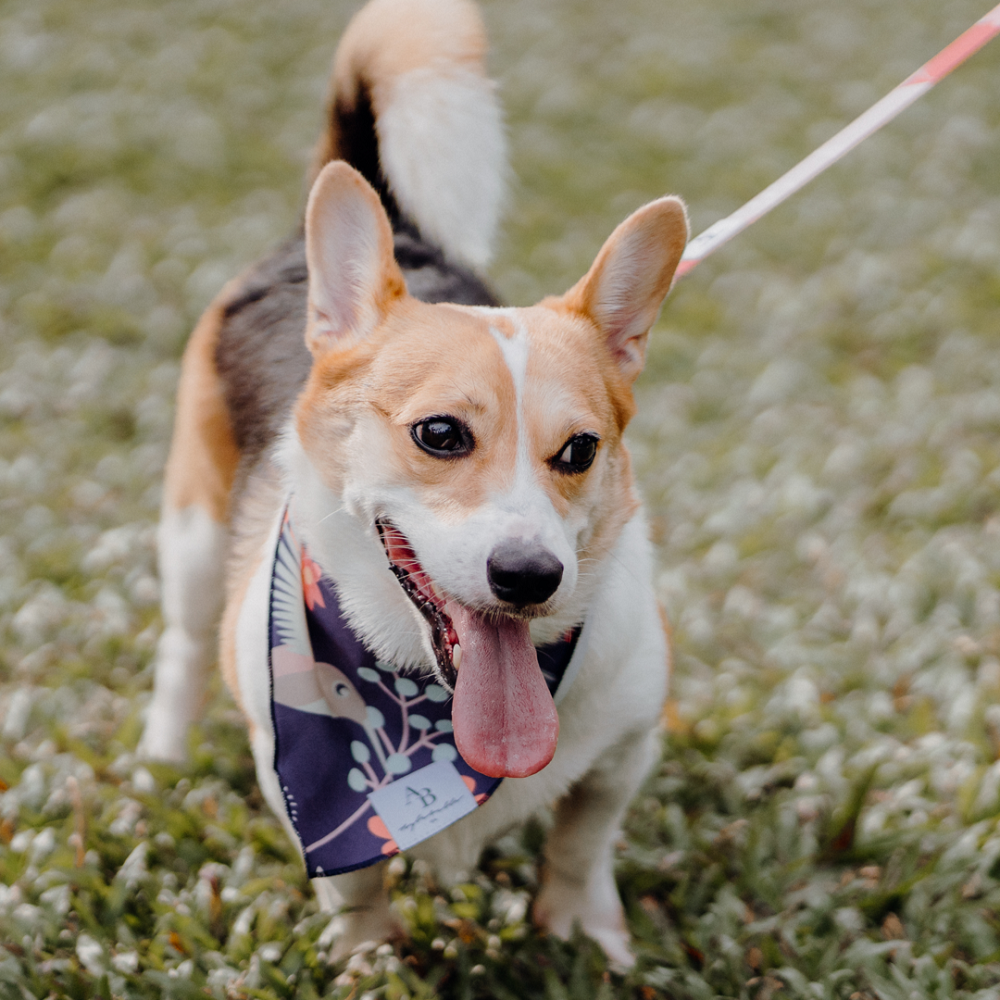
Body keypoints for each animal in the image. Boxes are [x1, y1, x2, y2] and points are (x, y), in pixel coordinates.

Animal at [139, 0, 688, 967]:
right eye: (440, 434)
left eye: (580, 450)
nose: (530, 577)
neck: (433, 706)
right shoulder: (303, 777)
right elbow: (356, 882)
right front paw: (369, 958)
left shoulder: (626, 748)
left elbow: (583, 842)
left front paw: (585, 934)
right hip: (197, 534)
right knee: (182, 645)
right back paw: (164, 758)